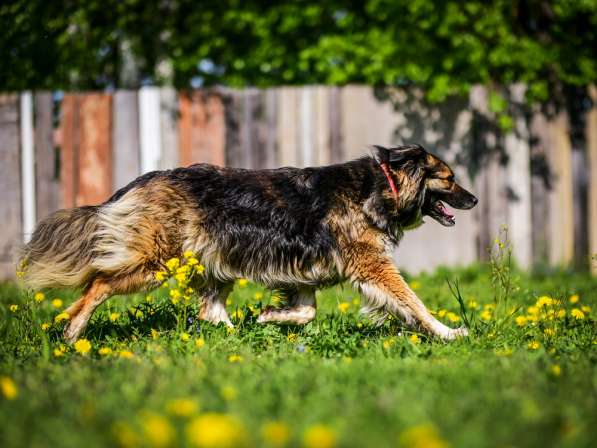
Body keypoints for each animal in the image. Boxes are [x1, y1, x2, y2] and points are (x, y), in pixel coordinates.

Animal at [19, 144, 474, 344]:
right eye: (450, 179)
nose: (474, 200)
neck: (383, 184)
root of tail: (144, 180)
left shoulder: (303, 274)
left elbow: (306, 312)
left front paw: (270, 317)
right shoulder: (372, 266)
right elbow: (414, 303)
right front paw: (449, 332)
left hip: (212, 261)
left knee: (210, 309)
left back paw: (238, 333)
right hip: (155, 262)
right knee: (97, 284)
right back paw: (72, 332)